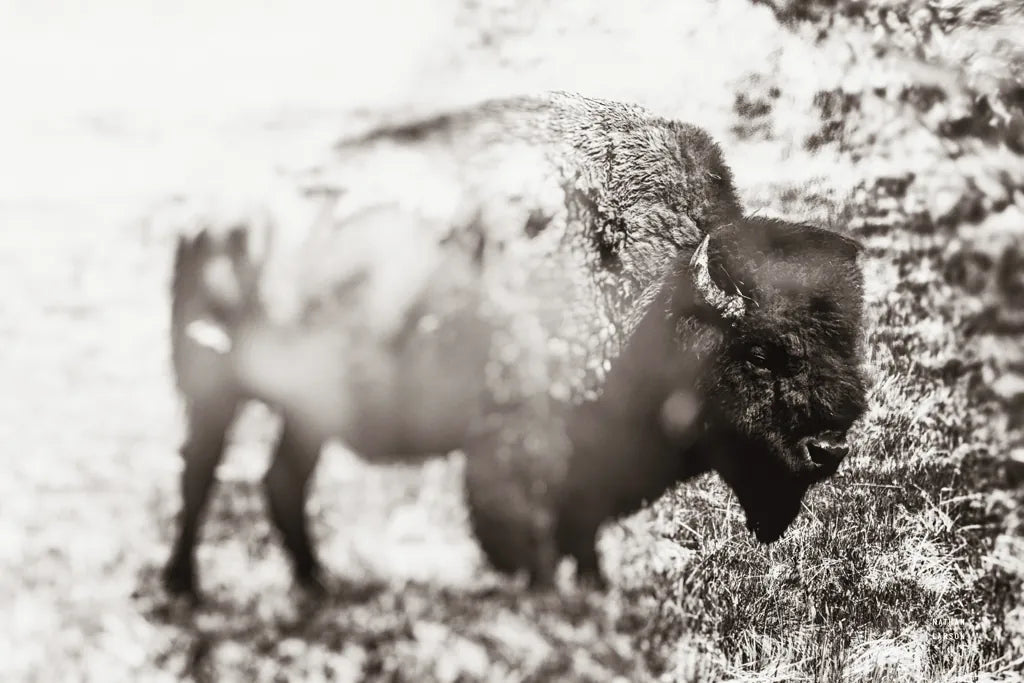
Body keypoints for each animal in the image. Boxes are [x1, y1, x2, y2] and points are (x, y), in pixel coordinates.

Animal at [162, 92, 866, 598]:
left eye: (850, 346)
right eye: (761, 352)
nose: (829, 447)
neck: (657, 296)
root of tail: (208, 223)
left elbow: (582, 528)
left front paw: (596, 591)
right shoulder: (522, 437)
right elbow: (532, 530)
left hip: (307, 409)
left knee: (282, 481)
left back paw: (317, 587)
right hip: (213, 388)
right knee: (200, 473)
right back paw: (185, 587)